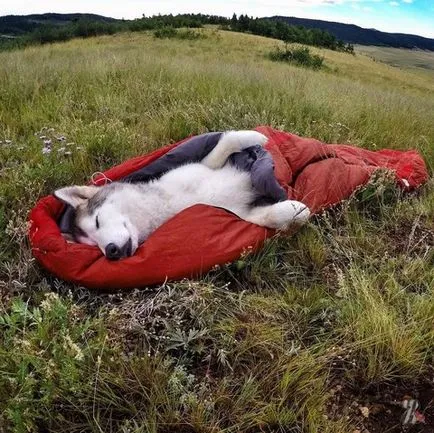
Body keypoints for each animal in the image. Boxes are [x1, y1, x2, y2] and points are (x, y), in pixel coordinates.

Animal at [54, 130, 310, 260]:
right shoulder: (235, 213)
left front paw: (254, 136)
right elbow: (265, 216)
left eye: (97, 221)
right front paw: (294, 210)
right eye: (92, 245)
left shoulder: (206, 166)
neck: (170, 204)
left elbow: (226, 141)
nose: (111, 252)